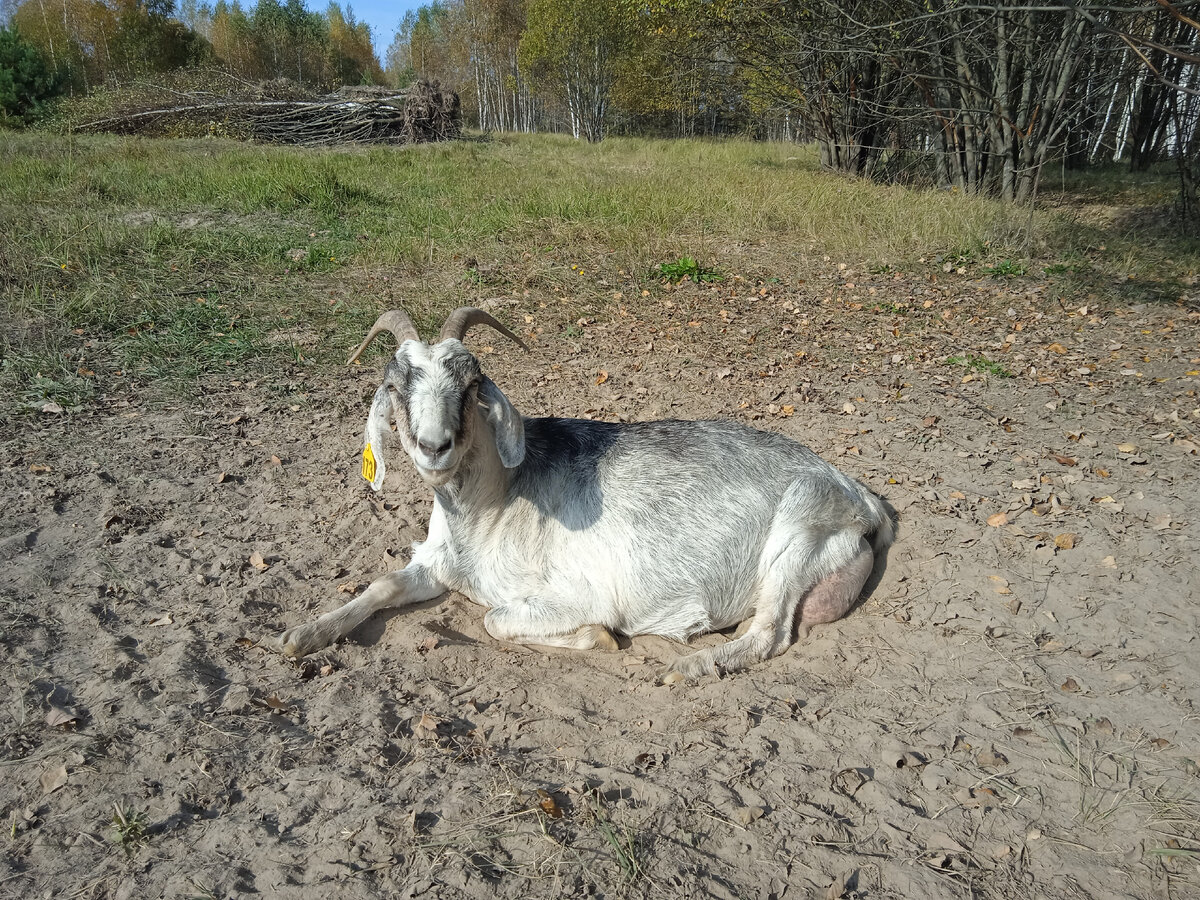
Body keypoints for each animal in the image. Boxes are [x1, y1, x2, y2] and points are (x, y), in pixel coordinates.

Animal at [275, 307, 896, 682]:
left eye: (471, 385)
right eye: (393, 385)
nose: (434, 445)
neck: (492, 511)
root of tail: (861, 499)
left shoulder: (575, 593)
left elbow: (496, 621)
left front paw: (597, 638)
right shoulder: (435, 563)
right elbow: (381, 584)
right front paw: (303, 635)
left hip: (797, 535)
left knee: (770, 632)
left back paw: (690, 667)